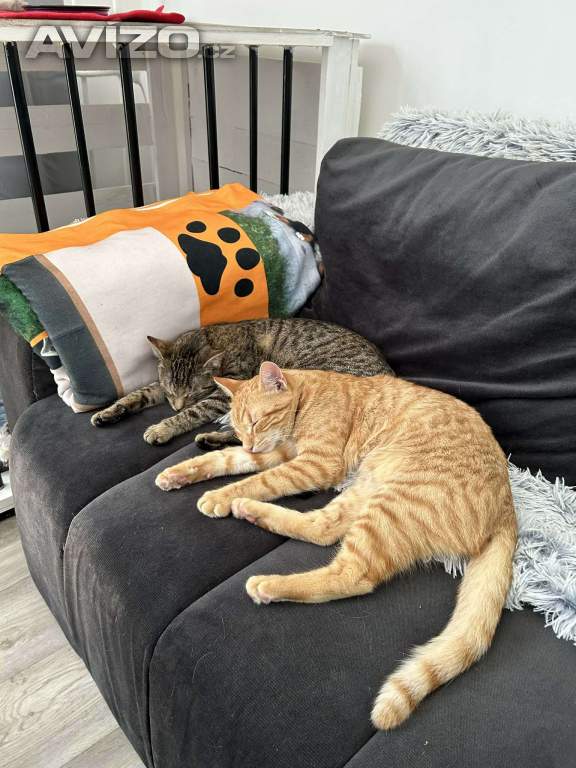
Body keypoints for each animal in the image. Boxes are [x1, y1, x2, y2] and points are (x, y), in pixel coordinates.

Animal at [91, 318, 393, 448]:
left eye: (192, 393)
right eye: (170, 391)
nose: (175, 406)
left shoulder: (223, 394)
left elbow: (193, 413)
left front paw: (163, 427)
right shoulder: (160, 387)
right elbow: (140, 394)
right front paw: (110, 411)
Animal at [155, 362, 517, 730]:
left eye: (256, 422)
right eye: (240, 431)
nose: (252, 445)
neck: (307, 397)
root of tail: (507, 504)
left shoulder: (314, 463)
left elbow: (258, 480)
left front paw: (220, 496)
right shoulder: (282, 453)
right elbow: (227, 459)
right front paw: (179, 473)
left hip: (390, 505)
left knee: (351, 574)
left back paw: (268, 582)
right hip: (368, 484)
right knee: (325, 528)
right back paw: (251, 512)